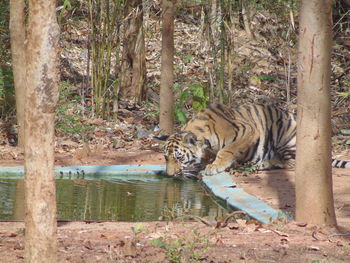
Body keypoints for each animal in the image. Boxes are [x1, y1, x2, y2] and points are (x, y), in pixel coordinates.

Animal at [159, 102, 350, 178]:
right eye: (165, 158)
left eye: (179, 157)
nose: (169, 175)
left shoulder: (248, 130)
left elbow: (226, 150)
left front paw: (214, 167)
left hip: (286, 137)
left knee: (290, 162)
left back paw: (263, 164)